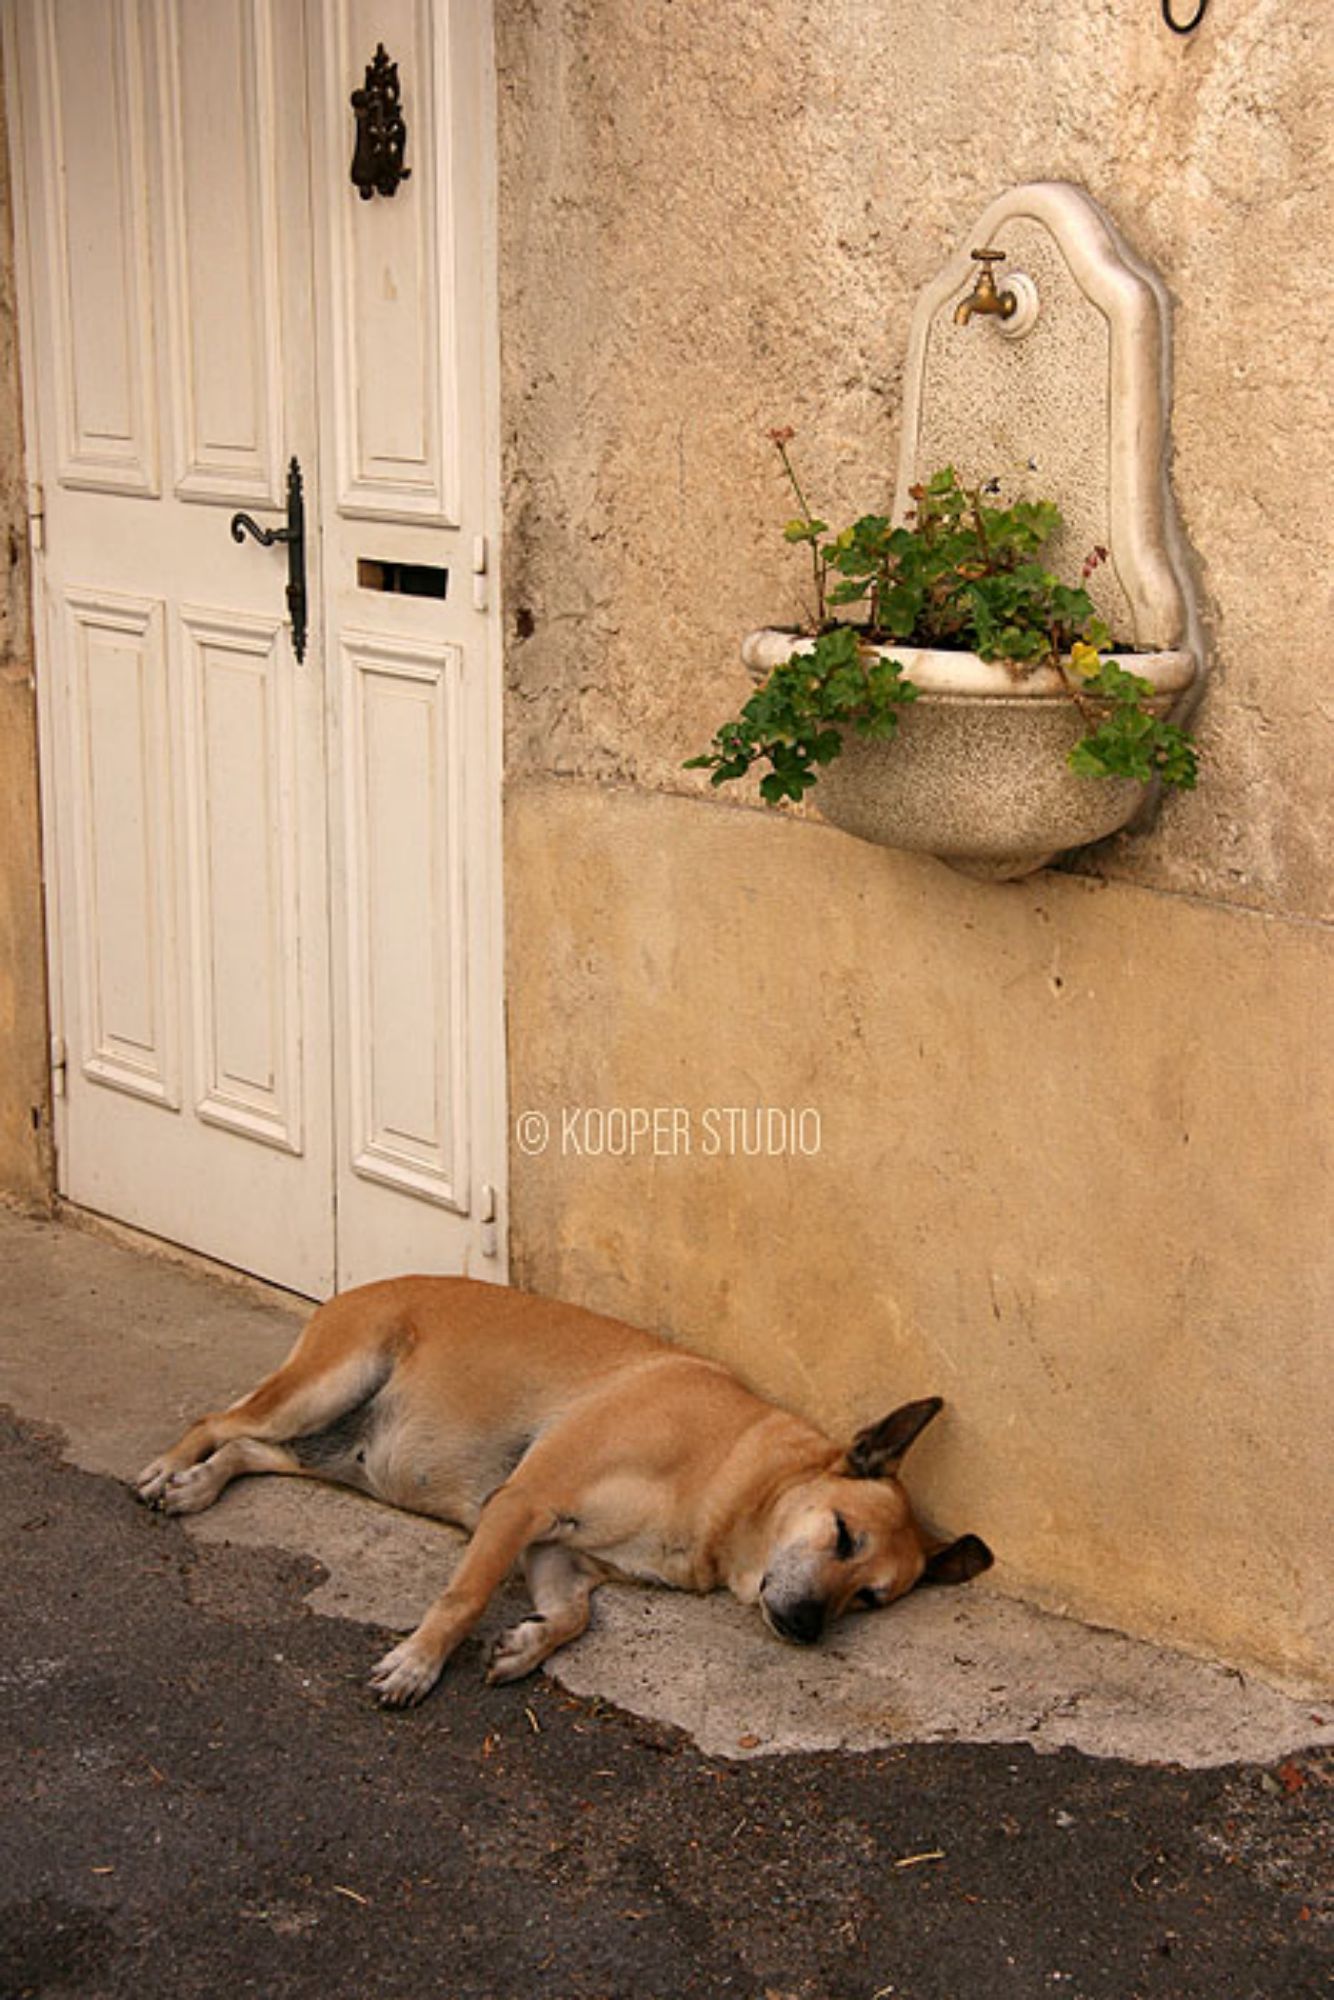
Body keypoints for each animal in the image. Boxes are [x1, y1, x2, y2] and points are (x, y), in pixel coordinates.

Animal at [136, 1276, 992, 1707]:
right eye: (843, 1535)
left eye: (870, 1600)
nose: (810, 1628)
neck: (729, 1478)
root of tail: (361, 1284)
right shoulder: (522, 1506)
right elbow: (464, 1597)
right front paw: (418, 1664)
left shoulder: (559, 1555)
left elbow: (577, 1617)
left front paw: (528, 1643)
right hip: (327, 1384)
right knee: (218, 1419)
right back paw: (167, 1468)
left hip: (337, 1456)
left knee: (247, 1449)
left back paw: (199, 1485)